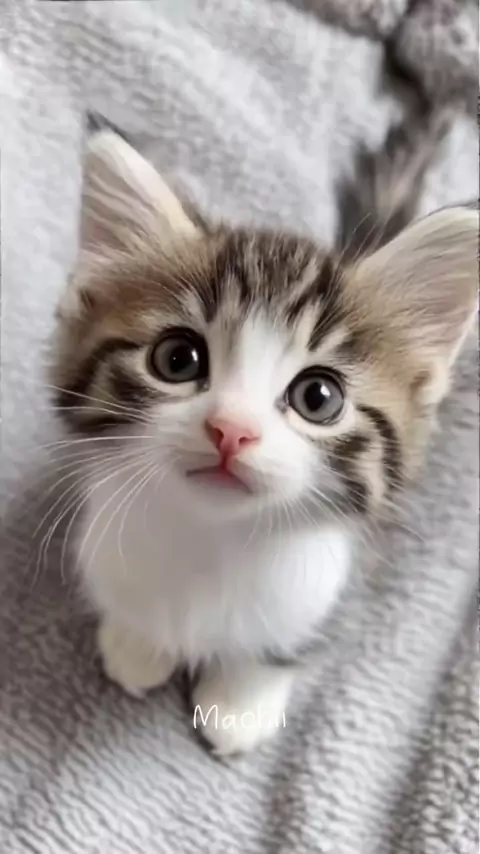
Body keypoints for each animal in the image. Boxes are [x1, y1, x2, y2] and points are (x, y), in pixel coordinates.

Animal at [49, 118, 477, 755]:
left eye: (318, 397)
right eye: (177, 359)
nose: (232, 429)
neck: (212, 541)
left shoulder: (331, 586)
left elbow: (281, 646)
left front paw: (240, 702)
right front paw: (138, 642)